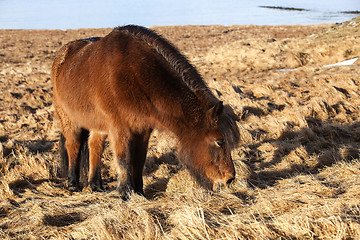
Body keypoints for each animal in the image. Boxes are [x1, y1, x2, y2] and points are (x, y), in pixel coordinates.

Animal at [51, 24, 239, 199]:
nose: (230, 179)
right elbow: (124, 159)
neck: (136, 74)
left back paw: (96, 185)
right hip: (68, 119)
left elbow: (139, 160)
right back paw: (73, 184)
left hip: (97, 125)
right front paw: (126, 193)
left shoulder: (143, 129)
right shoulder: (120, 129)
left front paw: (139, 192)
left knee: (94, 146)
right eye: (219, 141)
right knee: (73, 146)